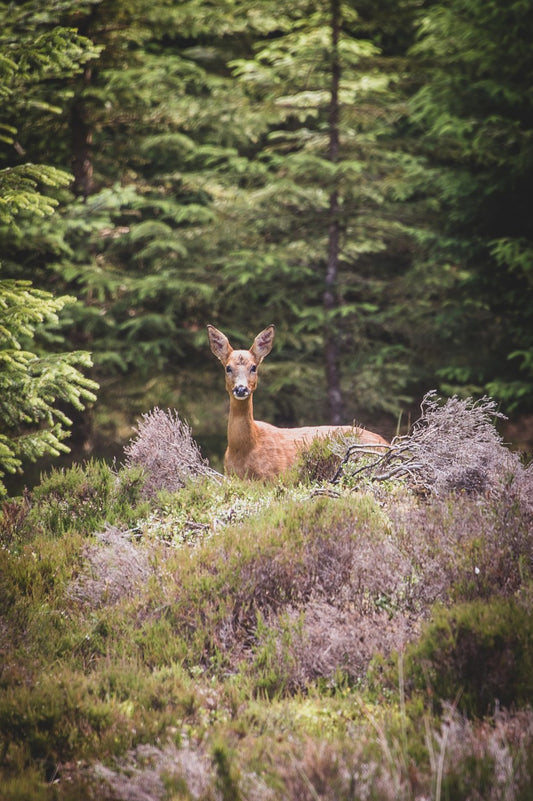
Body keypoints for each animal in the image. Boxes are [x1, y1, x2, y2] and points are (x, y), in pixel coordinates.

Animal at [206, 322, 384, 478]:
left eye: (253, 367)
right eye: (228, 368)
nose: (241, 389)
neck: (244, 448)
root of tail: (386, 443)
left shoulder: (275, 477)